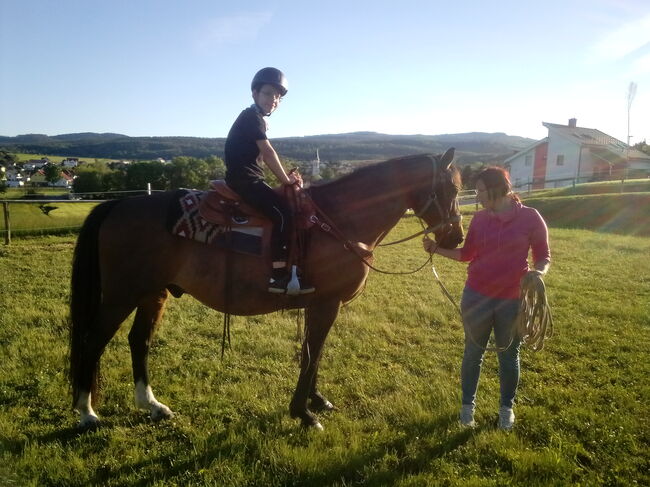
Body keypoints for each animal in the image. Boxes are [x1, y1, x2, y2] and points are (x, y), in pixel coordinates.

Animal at [68, 149, 460, 430]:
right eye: (453, 188)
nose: (455, 238)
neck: (339, 219)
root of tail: (119, 204)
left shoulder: (317, 303)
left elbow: (312, 353)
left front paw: (315, 401)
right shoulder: (327, 303)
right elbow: (313, 353)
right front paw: (304, 413)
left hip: (153, 294)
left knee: (139, 341)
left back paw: (151, 405)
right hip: (121, 295)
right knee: (93, 340)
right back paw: (87, 412)